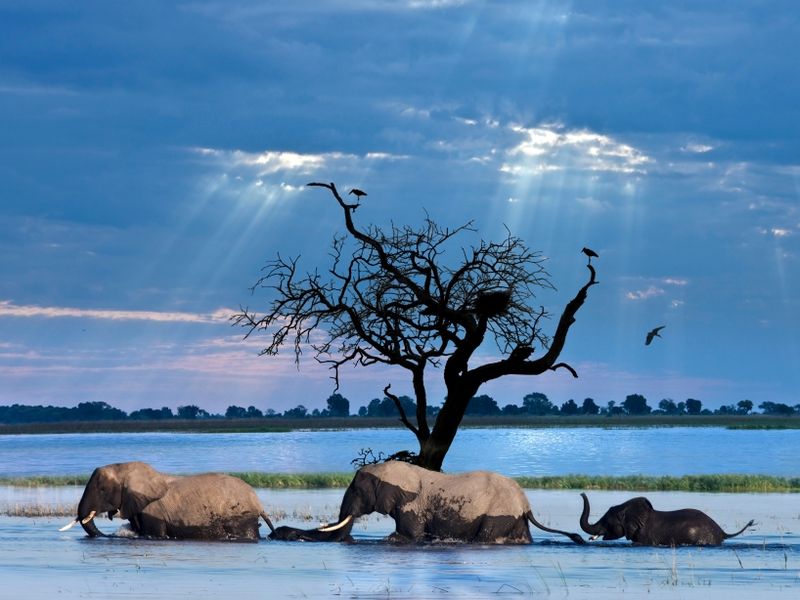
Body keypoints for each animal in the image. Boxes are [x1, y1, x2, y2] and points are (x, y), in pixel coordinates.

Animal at [272, 462, 584, 548]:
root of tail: (525, 503)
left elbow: (406, 535)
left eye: (357, 491)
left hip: (498, 514)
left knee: (486, 535)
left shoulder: (413, 505)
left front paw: (393, 539)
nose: (281, 532)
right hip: (513, 518)